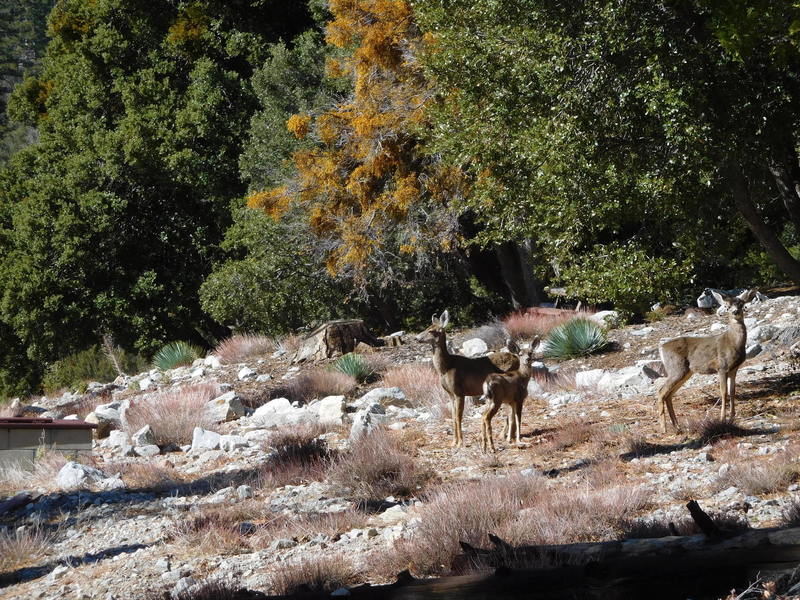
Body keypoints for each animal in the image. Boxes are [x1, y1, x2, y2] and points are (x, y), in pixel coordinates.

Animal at [416, 312, 520, 448]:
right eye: (427, 327)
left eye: (431, 330)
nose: (416, 338)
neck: (446, 367)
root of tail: (517, 358)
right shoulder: (450, 394)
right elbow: (453, 416)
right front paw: (453, 442)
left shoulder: (459, 391)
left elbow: (458, 417)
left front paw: (460, 442)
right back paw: (507, 436)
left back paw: (506, 436)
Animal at [656, 290, 756, 434]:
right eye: (726, 306)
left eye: (741, 304)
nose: (735, 312)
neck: (732, 342)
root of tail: (661, 348)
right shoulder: (722, 367)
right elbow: (723, 392)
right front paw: (722, 418)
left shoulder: (734, 369)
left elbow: (733, 392)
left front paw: (732, 417)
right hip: (676, 368)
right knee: (661, 391)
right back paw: (663, 428)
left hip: (685, 372)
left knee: (669, 394)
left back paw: (677, 427)